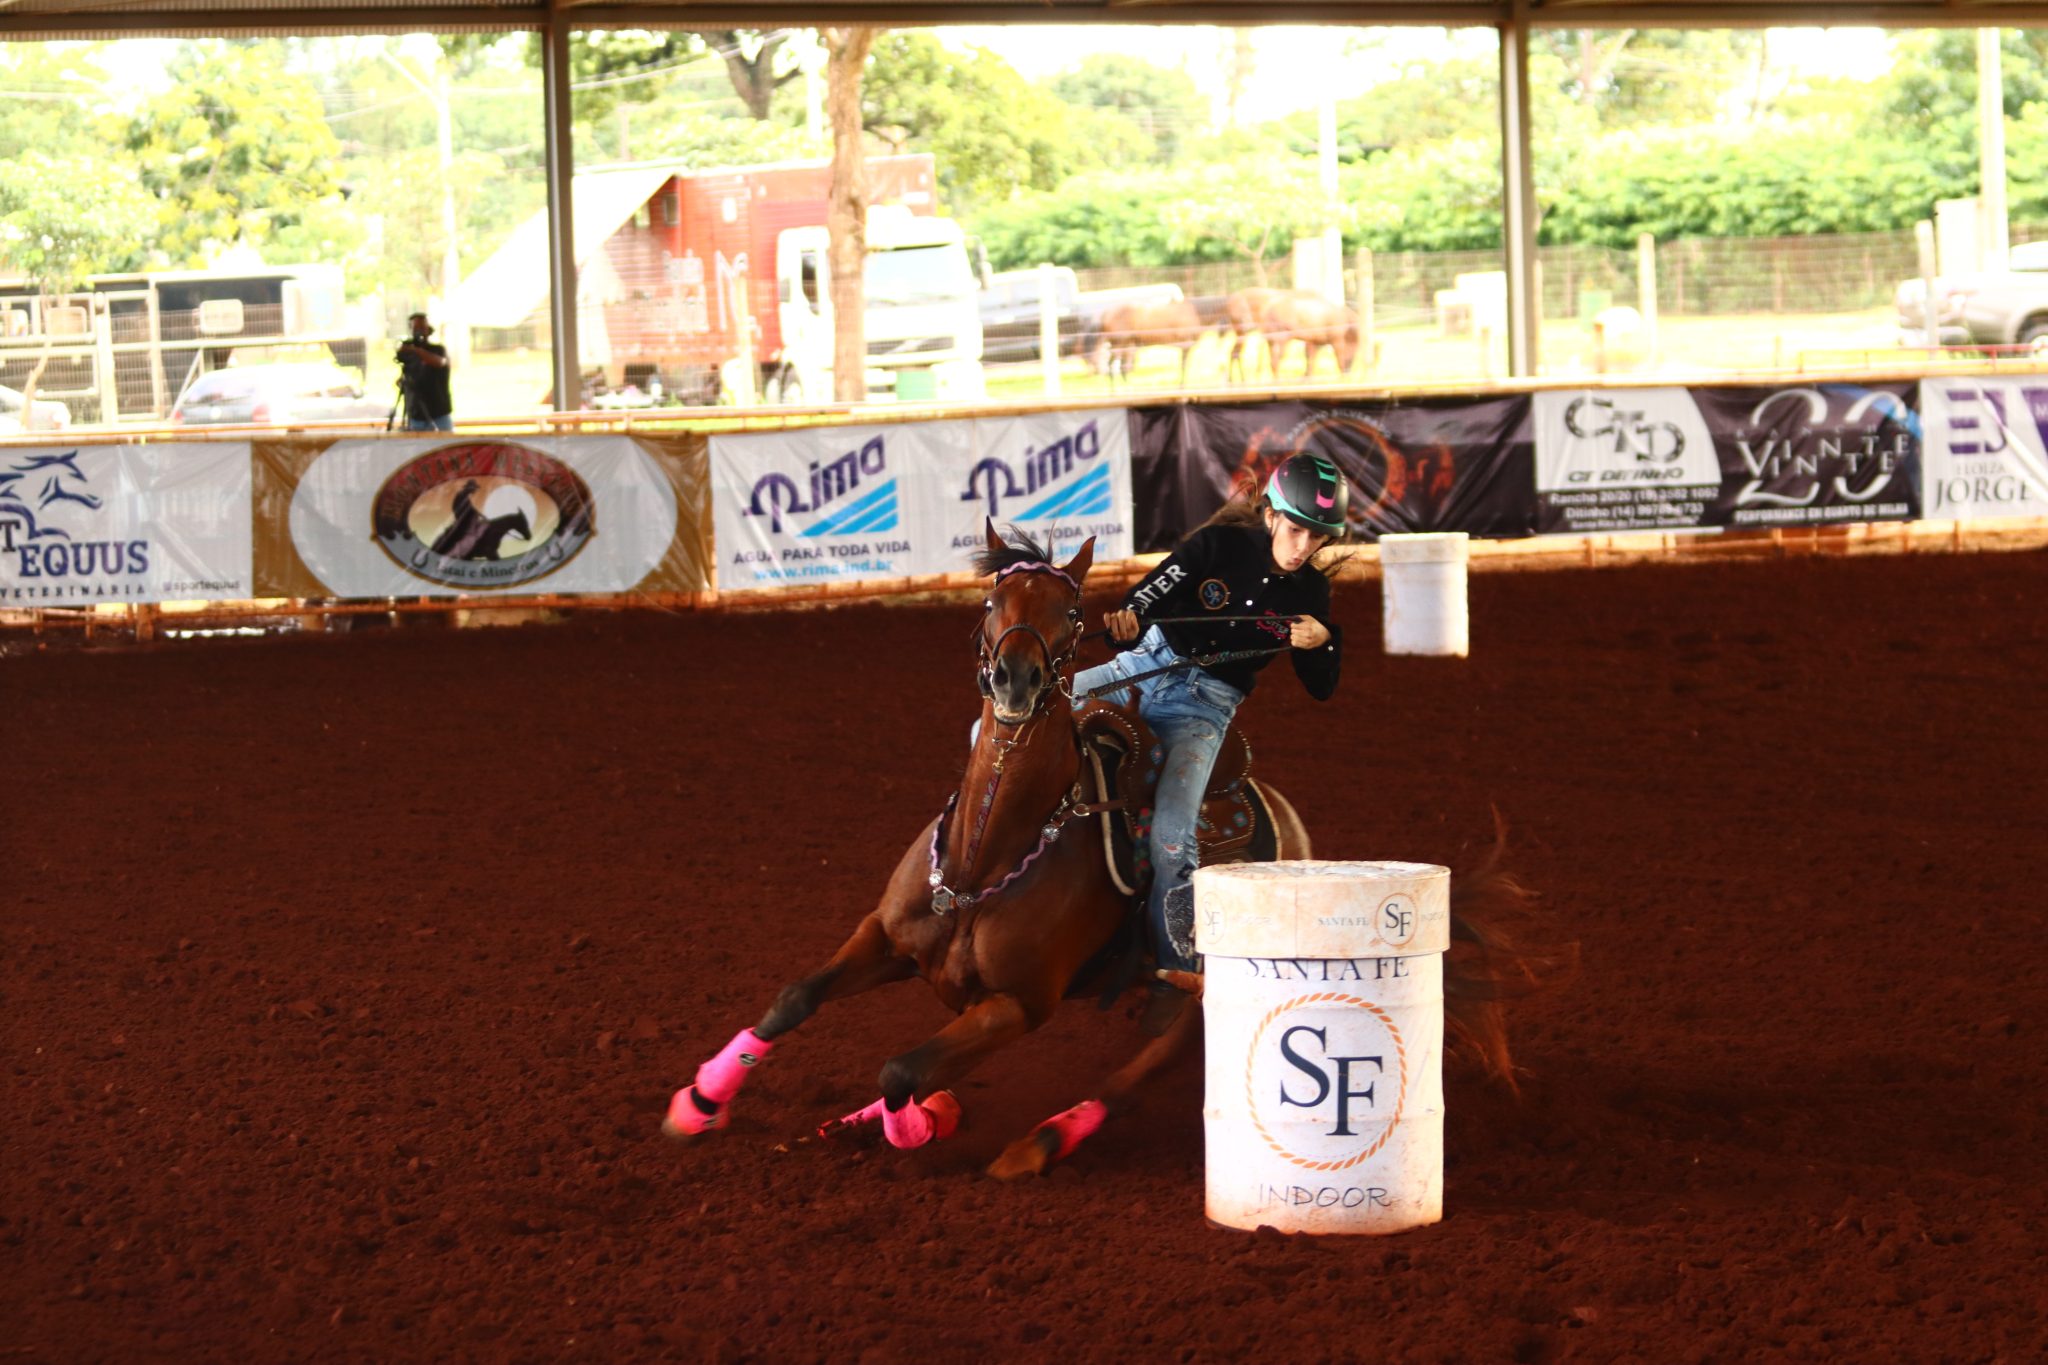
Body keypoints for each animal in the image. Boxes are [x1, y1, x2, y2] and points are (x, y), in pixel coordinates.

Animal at [663, 527, 1540, 1178]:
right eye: (994, 599)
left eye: (1073, 609)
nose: (1015, 680)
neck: (988, 863)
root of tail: (1290, 826)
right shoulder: (884, 935)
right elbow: (794, 997)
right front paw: (699, 1102)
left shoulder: (1019, 1004)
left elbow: (901, 1071)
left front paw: (916, 1123)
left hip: (1202, 985)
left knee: (1139, 1071)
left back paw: (1040, 1142)